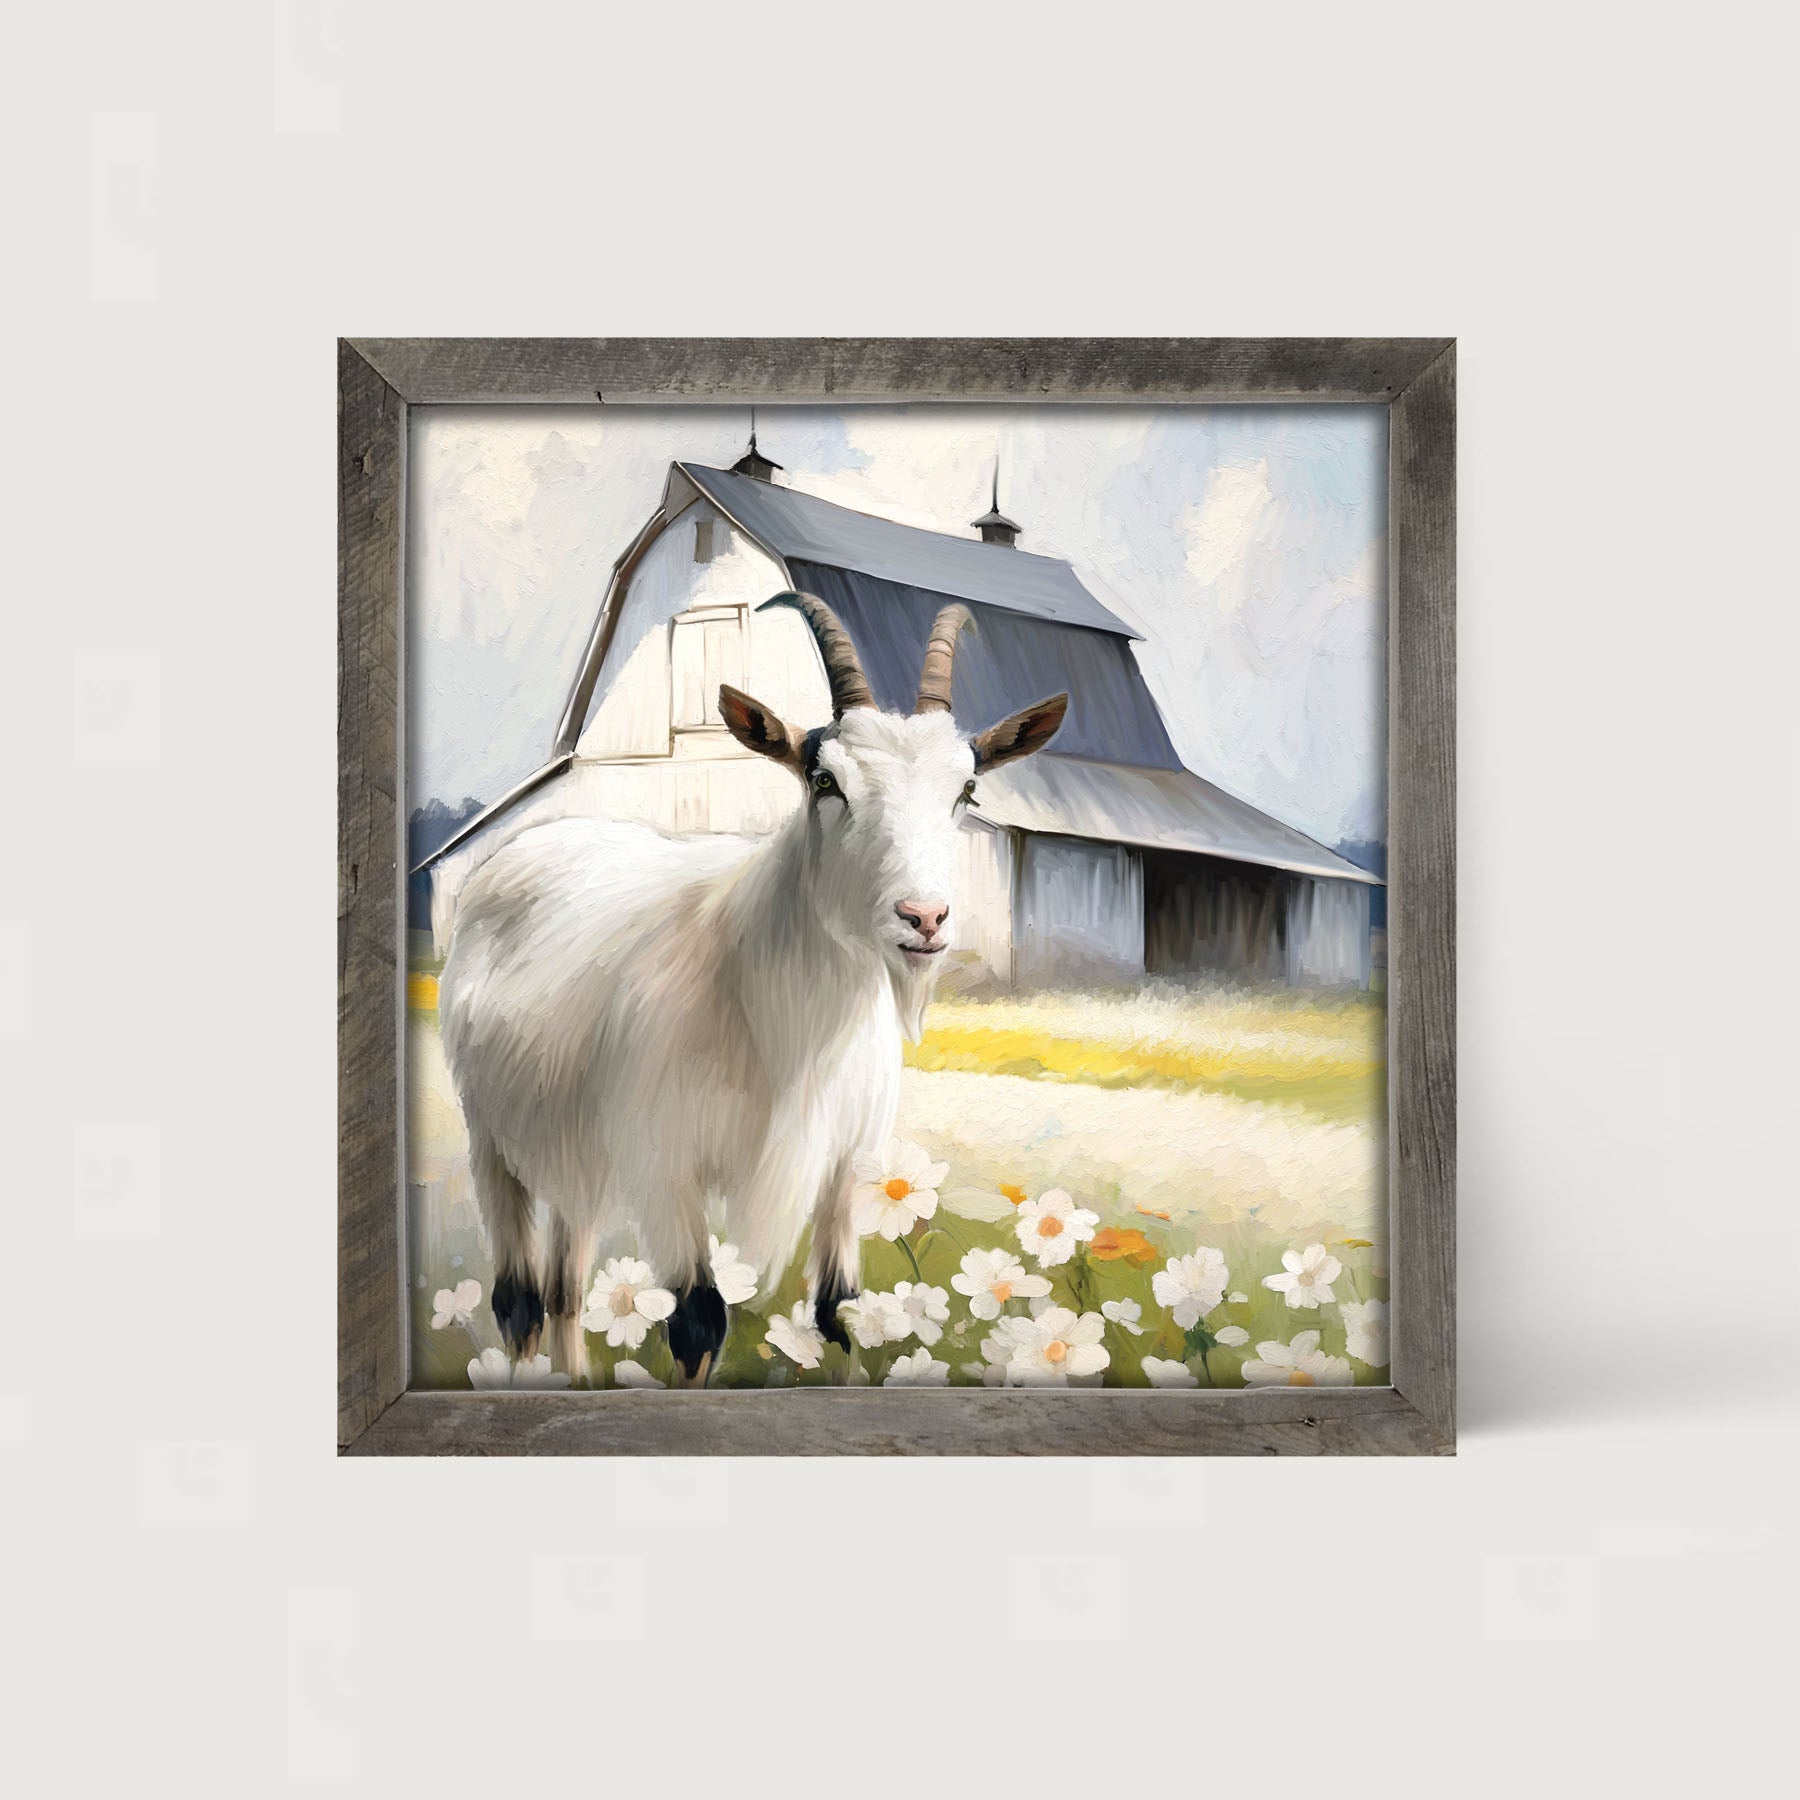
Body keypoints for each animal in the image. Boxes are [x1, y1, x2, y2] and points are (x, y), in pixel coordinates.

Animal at [437, 592, 1067, 1381]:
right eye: (826, 781)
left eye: (967, 789)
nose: (924, 918)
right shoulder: (662, 1163)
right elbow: (698, 1323)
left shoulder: (846, 1165)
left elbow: (842, 1315)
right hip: (490, 1135)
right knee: (518, 1298)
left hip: (574, 1143)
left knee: (566, 1285)